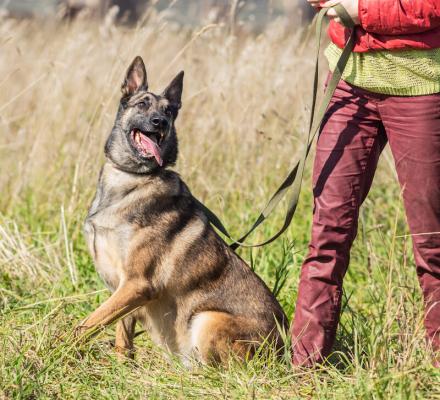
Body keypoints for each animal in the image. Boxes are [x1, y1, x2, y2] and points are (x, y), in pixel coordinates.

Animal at [80, 56, 288, 366]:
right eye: (143, 104)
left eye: (168, 111)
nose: (160, 122)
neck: (133, 179)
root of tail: (286, 351)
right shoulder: (122, 287)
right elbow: (121, 333)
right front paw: (122, 365)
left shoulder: (137, 284)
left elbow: (86, 324)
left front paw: (54, 348)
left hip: (207, 319)